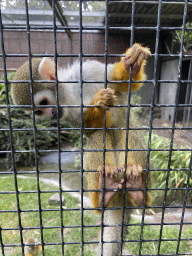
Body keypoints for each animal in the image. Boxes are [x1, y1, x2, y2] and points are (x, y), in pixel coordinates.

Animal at [11, 44, 151, 256]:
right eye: (38, 112)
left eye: (43, 103)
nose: (51, 114)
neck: (71, 94)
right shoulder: (69, 113)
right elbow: (89, 128)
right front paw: (98, 106)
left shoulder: (87, 71)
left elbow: (120, 84)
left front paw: (131, 65)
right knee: (98, 136)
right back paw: (107, 192)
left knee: (128, 129)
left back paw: (137, 189)